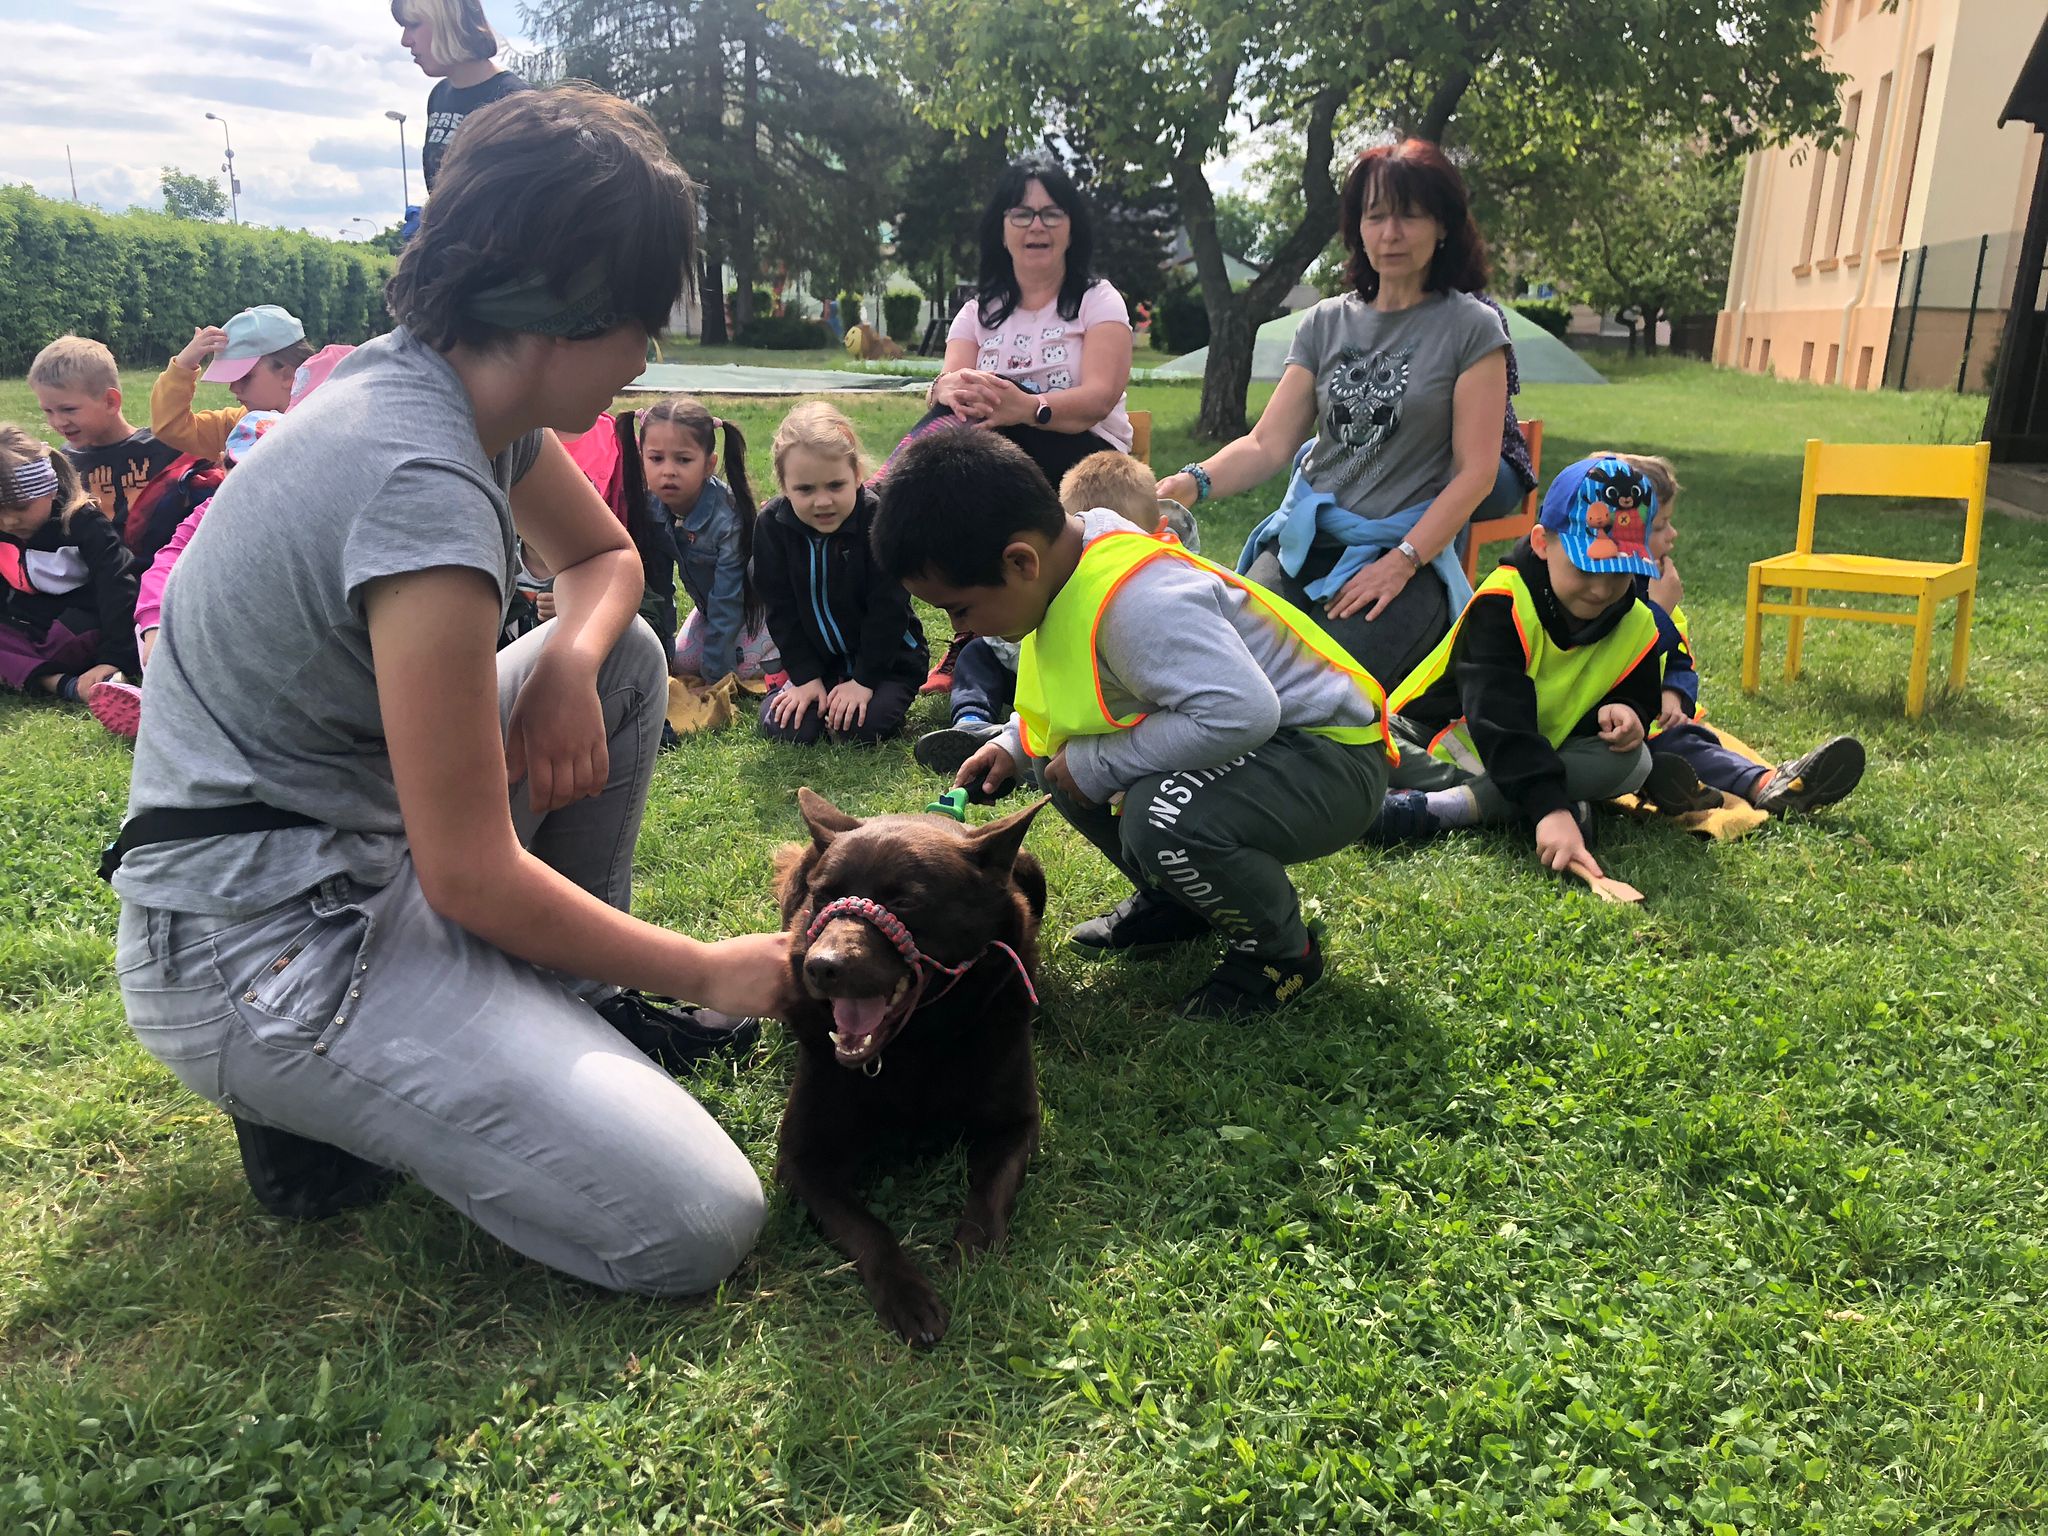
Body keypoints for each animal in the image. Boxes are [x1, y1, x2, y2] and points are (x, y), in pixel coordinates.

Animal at [774, 794, 1048, 1343]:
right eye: (824, 895)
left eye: (904, 901)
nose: (819, 967)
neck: (917, 1041)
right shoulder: (799, 1159)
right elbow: (867, 1226)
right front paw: (908, 1294)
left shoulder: (1017, 1125)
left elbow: (989, 1194)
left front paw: (972, 1262)